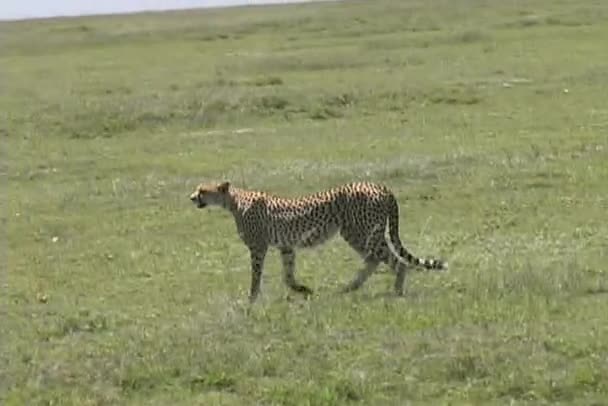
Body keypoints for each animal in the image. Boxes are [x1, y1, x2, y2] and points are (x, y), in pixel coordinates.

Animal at [189, 181, 446, 302]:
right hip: (359, 233)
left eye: (202, 190)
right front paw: (304, 290)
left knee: (392, 260)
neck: (233, 201)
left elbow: (256, 275)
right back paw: (350, 287)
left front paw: (251, 299)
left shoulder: (258, 247)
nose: (191, 198)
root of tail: (380, 186)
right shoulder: (286, 246)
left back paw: (396, 290)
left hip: (360, 232)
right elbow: (288, 275)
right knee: (374, 260)